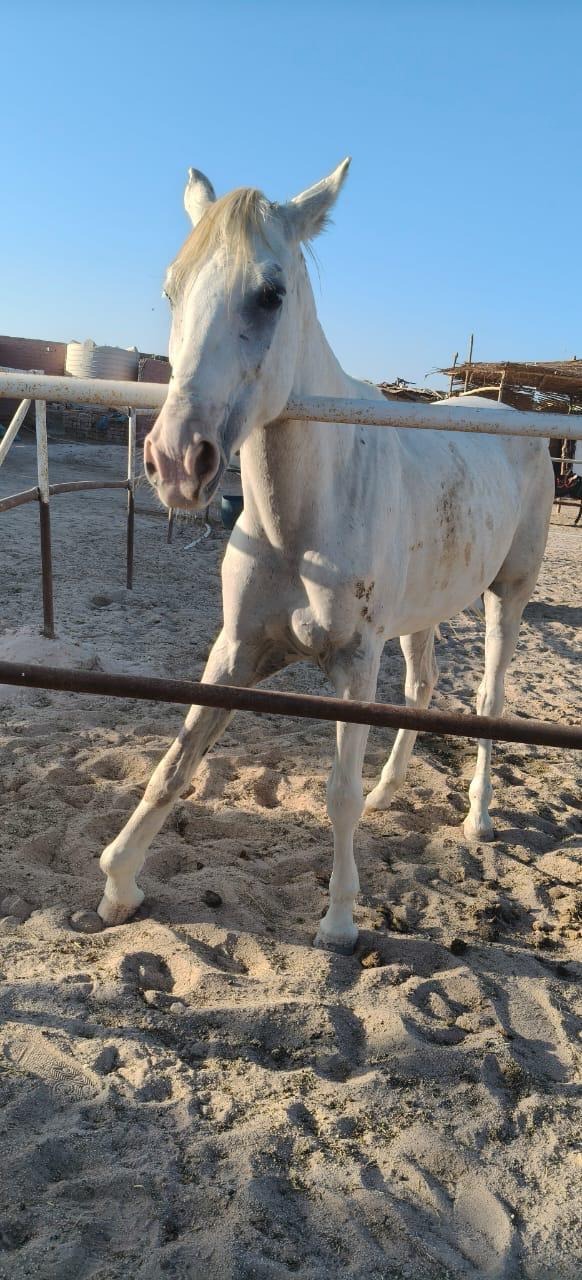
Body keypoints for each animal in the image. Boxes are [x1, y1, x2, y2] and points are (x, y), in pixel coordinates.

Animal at [97, 159, 554, 951]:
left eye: (271, 293)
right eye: (172, 289)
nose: (176, 460)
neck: (301, 524)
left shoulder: (353, 662)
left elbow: (336, 794)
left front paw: (340, 920)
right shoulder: (238, 652)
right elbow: (176, 762)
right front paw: (119, 883)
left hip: (510, 596)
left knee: (488, 701)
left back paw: (478, 818)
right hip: (423, 613)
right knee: (423, 689)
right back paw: (390, 791)